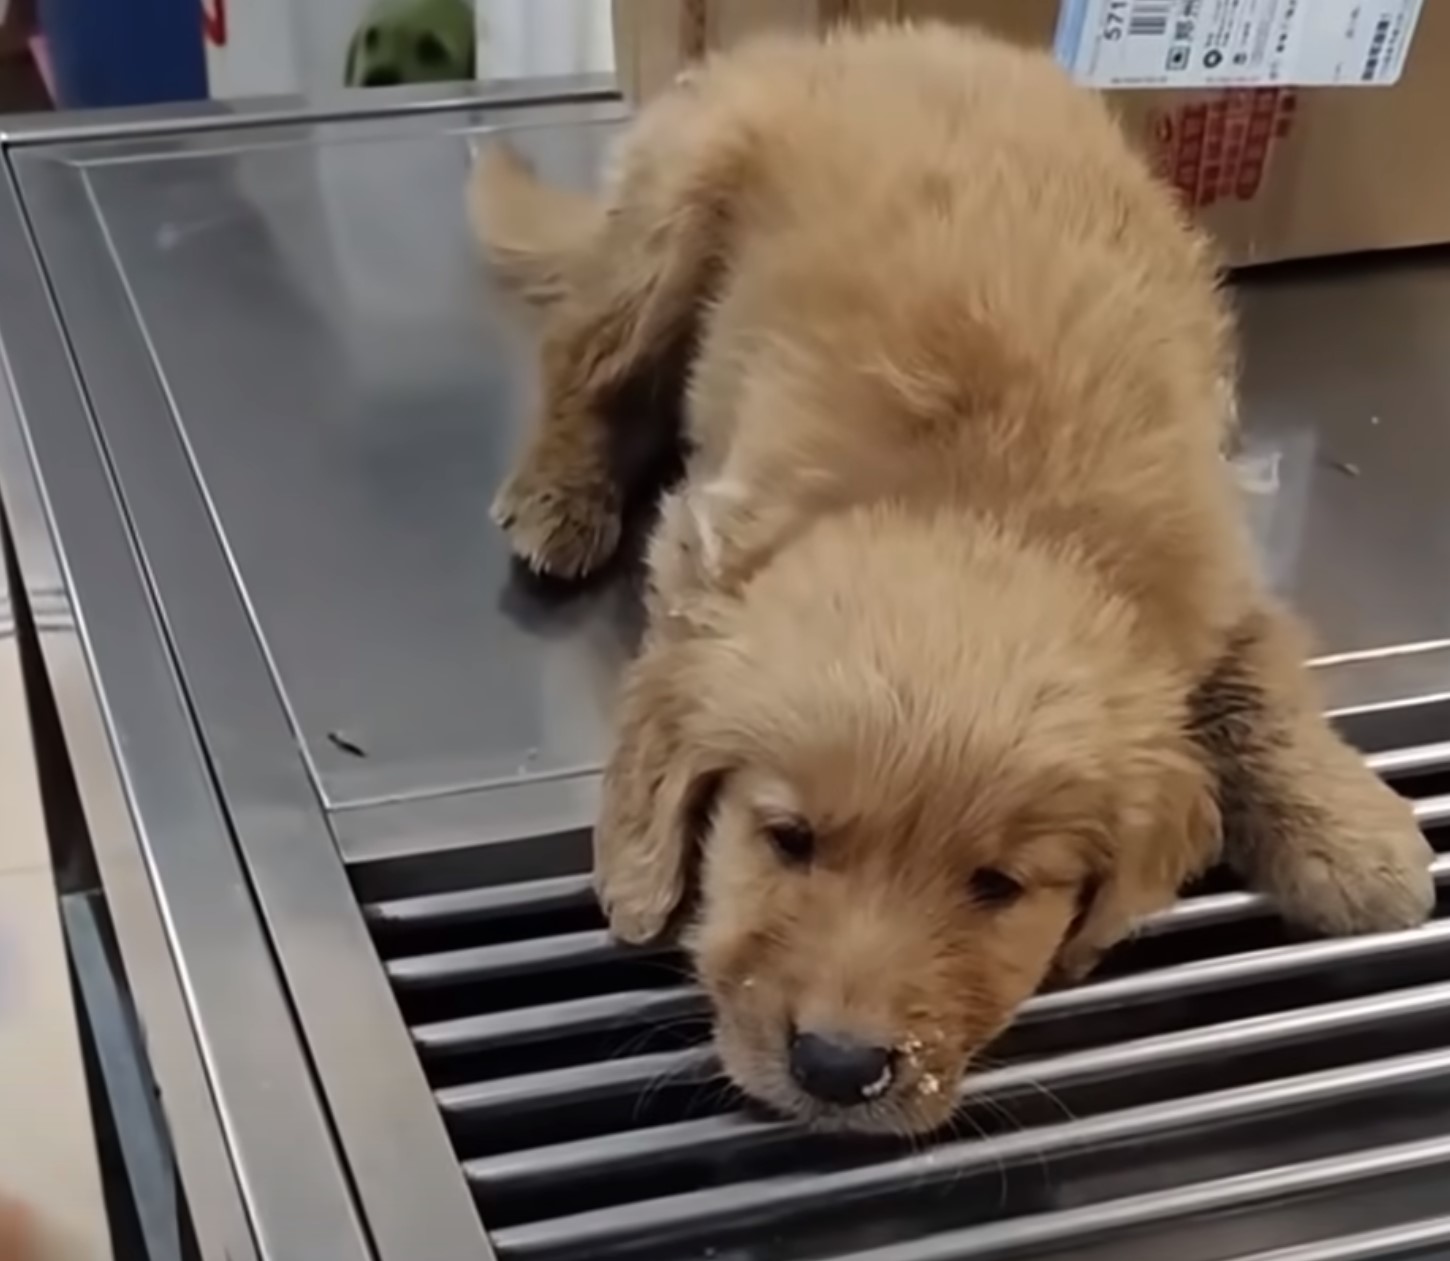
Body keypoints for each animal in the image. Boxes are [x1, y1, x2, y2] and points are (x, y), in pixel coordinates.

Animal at [469, 22, 1432, 1136]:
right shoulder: (707, 544)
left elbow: (1262, 682)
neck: (983, 505)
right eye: (787, 839)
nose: (839, 1066)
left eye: (997, 885)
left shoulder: (1217, 565)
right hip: (666, 221)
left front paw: (1353, 839)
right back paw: (561, 491)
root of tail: (863, 40)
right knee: (588, 354)